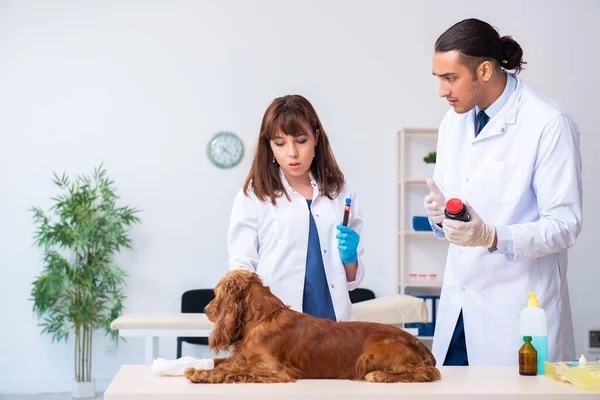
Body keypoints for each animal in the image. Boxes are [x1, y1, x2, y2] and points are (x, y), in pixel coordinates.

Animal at [185, 270, 442, 382]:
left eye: (216, 294)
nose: (205, 310)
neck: (262, 319)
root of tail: (417, 342)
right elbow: (225, 362)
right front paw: (197, 367)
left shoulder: (275, 368)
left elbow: (235, 368)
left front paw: (201, 373)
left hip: (374, 352)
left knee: (428, 372)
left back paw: (380, 375)